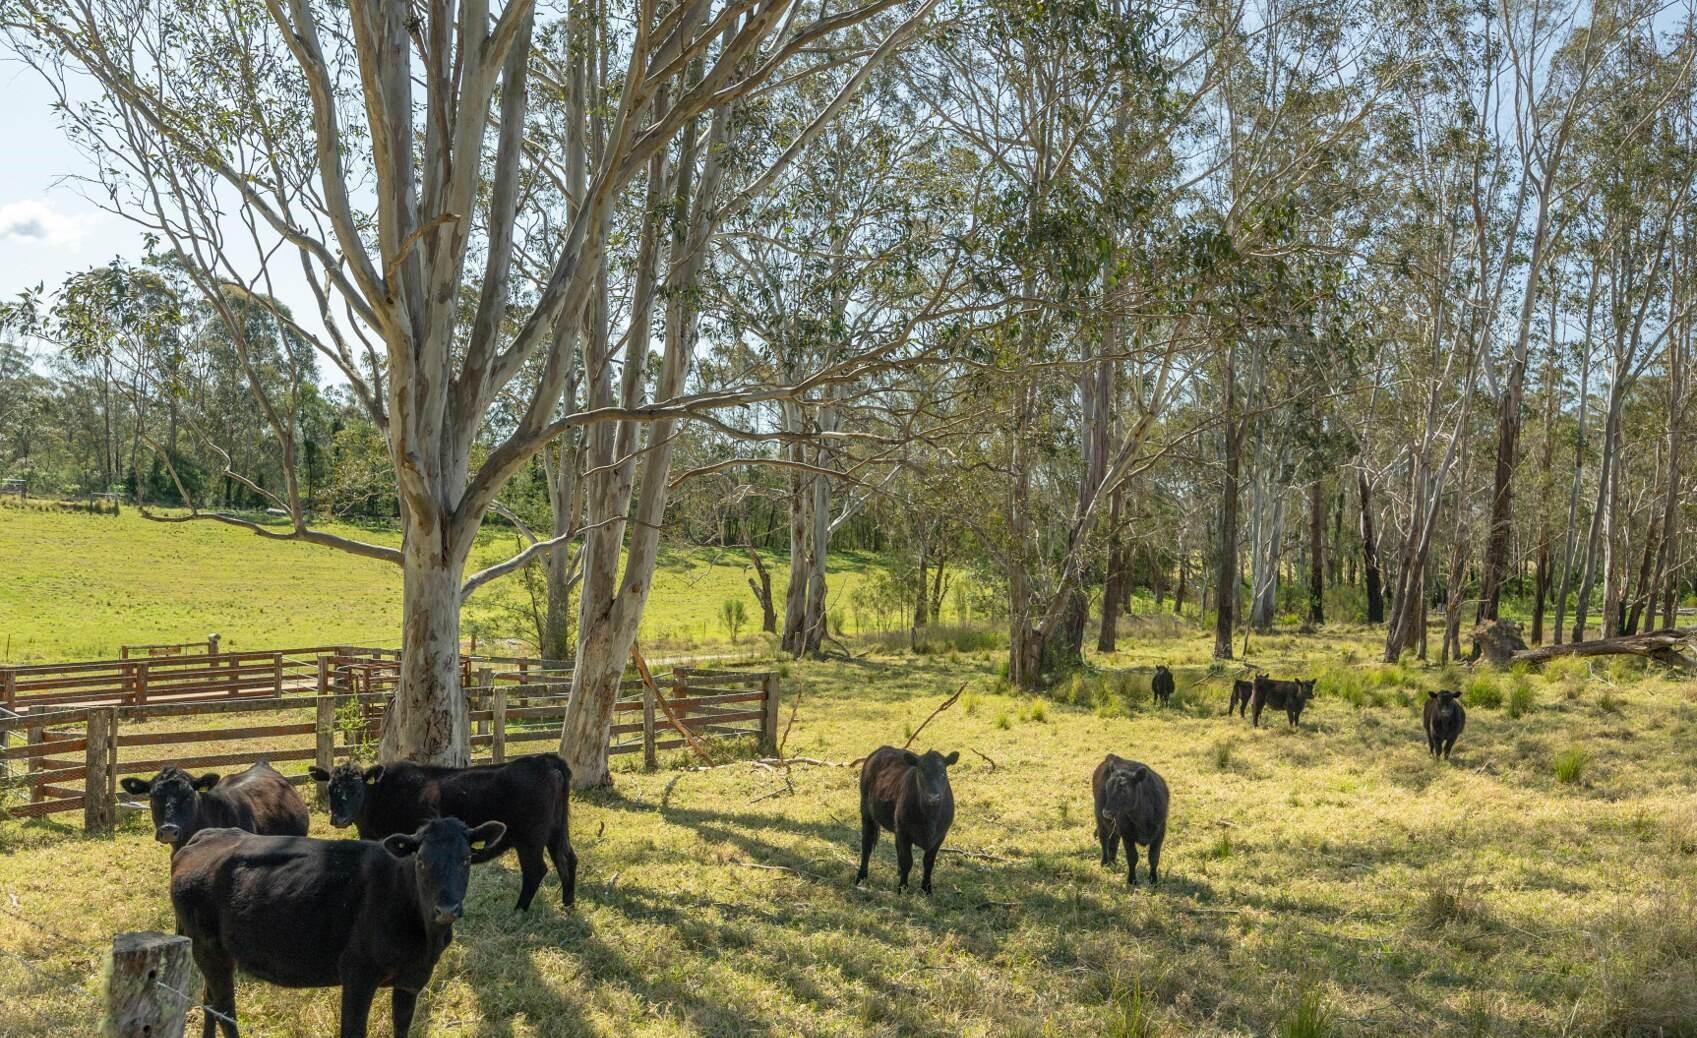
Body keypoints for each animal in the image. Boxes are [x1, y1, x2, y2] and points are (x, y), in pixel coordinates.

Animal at [168, 817, 505, 1038]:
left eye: (466, 859)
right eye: (421, 861)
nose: (447, 909)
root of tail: (205, 836)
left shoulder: (412, 978)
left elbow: (402, 1028)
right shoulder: (357, 972)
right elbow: (353, 1031)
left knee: (209, 1001)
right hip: (209, 949)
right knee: (225, 1011)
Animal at [313, 753, 583, 909]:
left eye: (357, 789)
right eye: (330, 788)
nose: (338, 819)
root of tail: (544, 760)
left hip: (529, 839)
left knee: (536, 870)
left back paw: (519, 909)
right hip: (557, 830)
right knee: (567, 859)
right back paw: (568, 903)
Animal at [855, 746, 963, 888]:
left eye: (943, 773)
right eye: (921, 772)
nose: (933, 797)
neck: (930, 818)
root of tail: (882, 749)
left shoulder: (940, 836)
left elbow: (928, 863)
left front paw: (926, 888)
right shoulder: (904, 833)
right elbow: (907, 861)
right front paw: (903, 888)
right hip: (867, 813)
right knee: (866, 845)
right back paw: (861, 876)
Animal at [1092, 749, 1174, 888]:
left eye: (1124, 790)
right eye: (1107, 788)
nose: (1107, 812)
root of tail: (1113, 757)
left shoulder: (1160, 831)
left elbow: (1154, 857)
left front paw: (1153, 880)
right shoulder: (1127, 833)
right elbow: (1132, 857)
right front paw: (1132, 880)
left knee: (1114, 840)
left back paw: (1113, 862)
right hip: (1100, 818)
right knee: (1104, 839)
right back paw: (1105, 862)